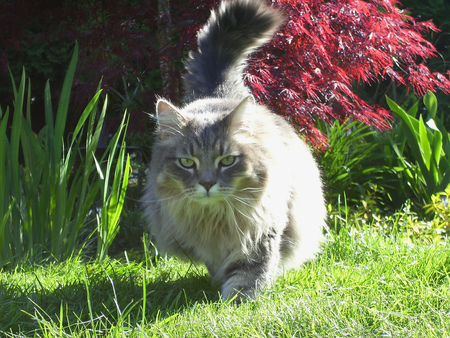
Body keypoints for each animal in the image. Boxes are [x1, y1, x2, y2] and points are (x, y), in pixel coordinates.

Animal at [142, 0, 326, 302]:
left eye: (227, 160)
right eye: (187, 163)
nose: (207, 183)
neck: (215, 219)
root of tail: (219, 93)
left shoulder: (261, 231)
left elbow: (249, 274)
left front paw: (237, 301)